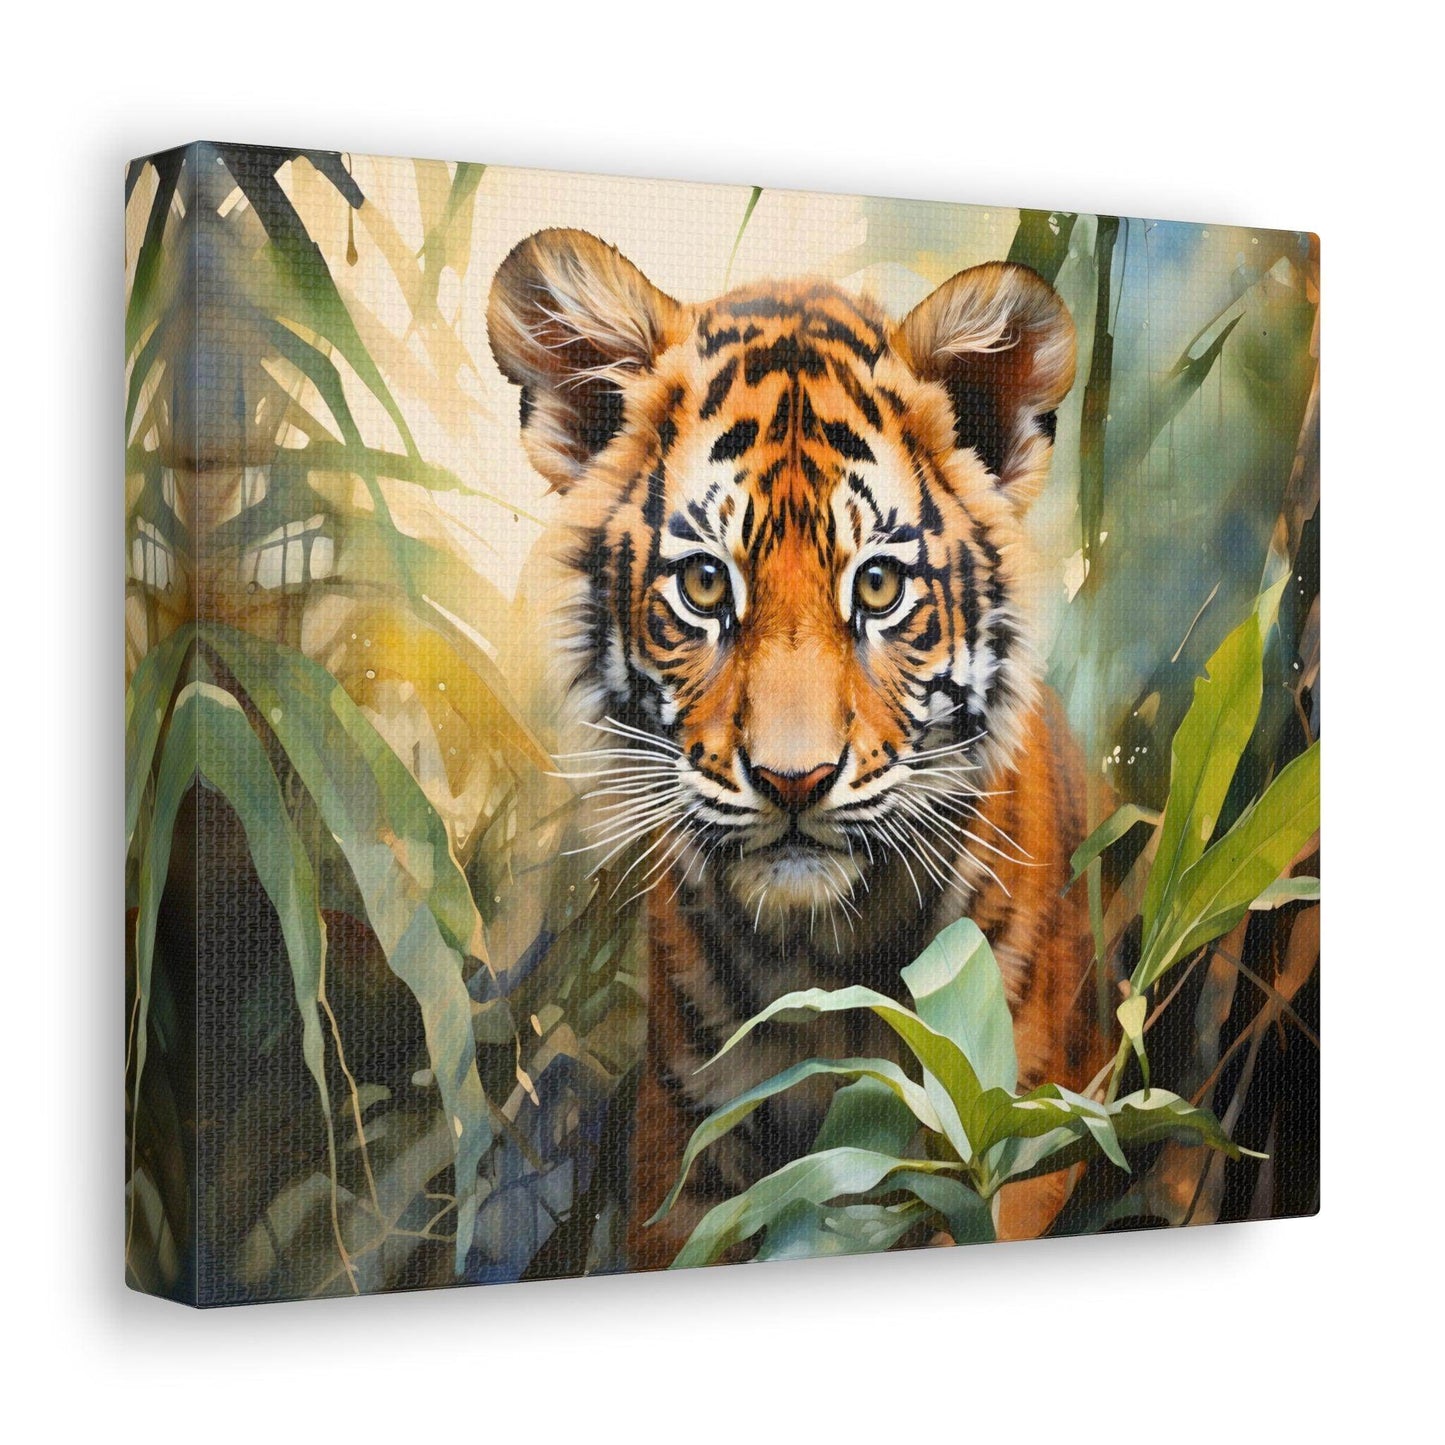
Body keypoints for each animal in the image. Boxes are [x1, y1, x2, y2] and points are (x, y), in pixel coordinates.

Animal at [487, 227, 1109, 1270]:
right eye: (704, 584)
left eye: (879, 586)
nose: (792, 780)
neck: (819, 963)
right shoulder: (685, 1161)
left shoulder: (1019, 1142)